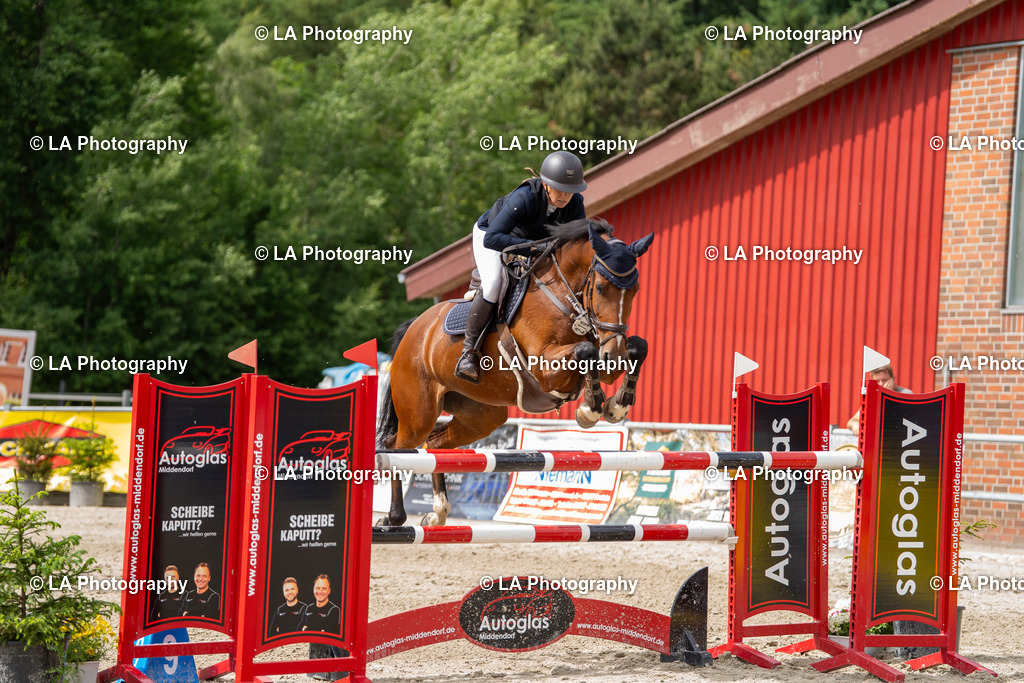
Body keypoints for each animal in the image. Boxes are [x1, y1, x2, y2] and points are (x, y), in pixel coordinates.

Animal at [376, 218, 654, 526]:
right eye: (602, 287)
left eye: (636, 289)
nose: (613, 354)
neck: (563, 295)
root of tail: (414, 329)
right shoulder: (545, 368)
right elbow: (584, 352)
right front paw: (590, 409)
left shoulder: (607, 352)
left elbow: (636, 348)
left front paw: (617, 406)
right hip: (418, 413)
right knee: (395, 445)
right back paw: (394, 518)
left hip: (481, 416)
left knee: (435, 443)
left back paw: (437, 513)